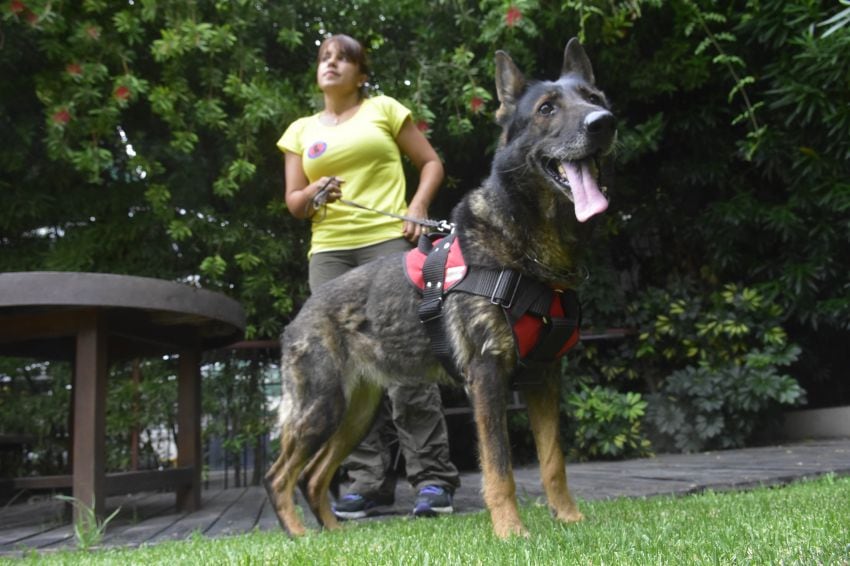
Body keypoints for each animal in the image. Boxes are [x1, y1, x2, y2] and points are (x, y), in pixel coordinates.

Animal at [264, 37, 616, 540]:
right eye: (547, 108)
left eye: (594, 98)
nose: (603, 123)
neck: (525, 247)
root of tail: (298, 319)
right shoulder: (487, 375)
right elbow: (500, 468)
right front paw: (511, 532)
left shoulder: (545, 378)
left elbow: (553, 462)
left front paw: (569, 518)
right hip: (322, 407)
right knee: (280, 475)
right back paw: (299, 536)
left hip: (355, 414)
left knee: (312, 477)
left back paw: (332, 533)